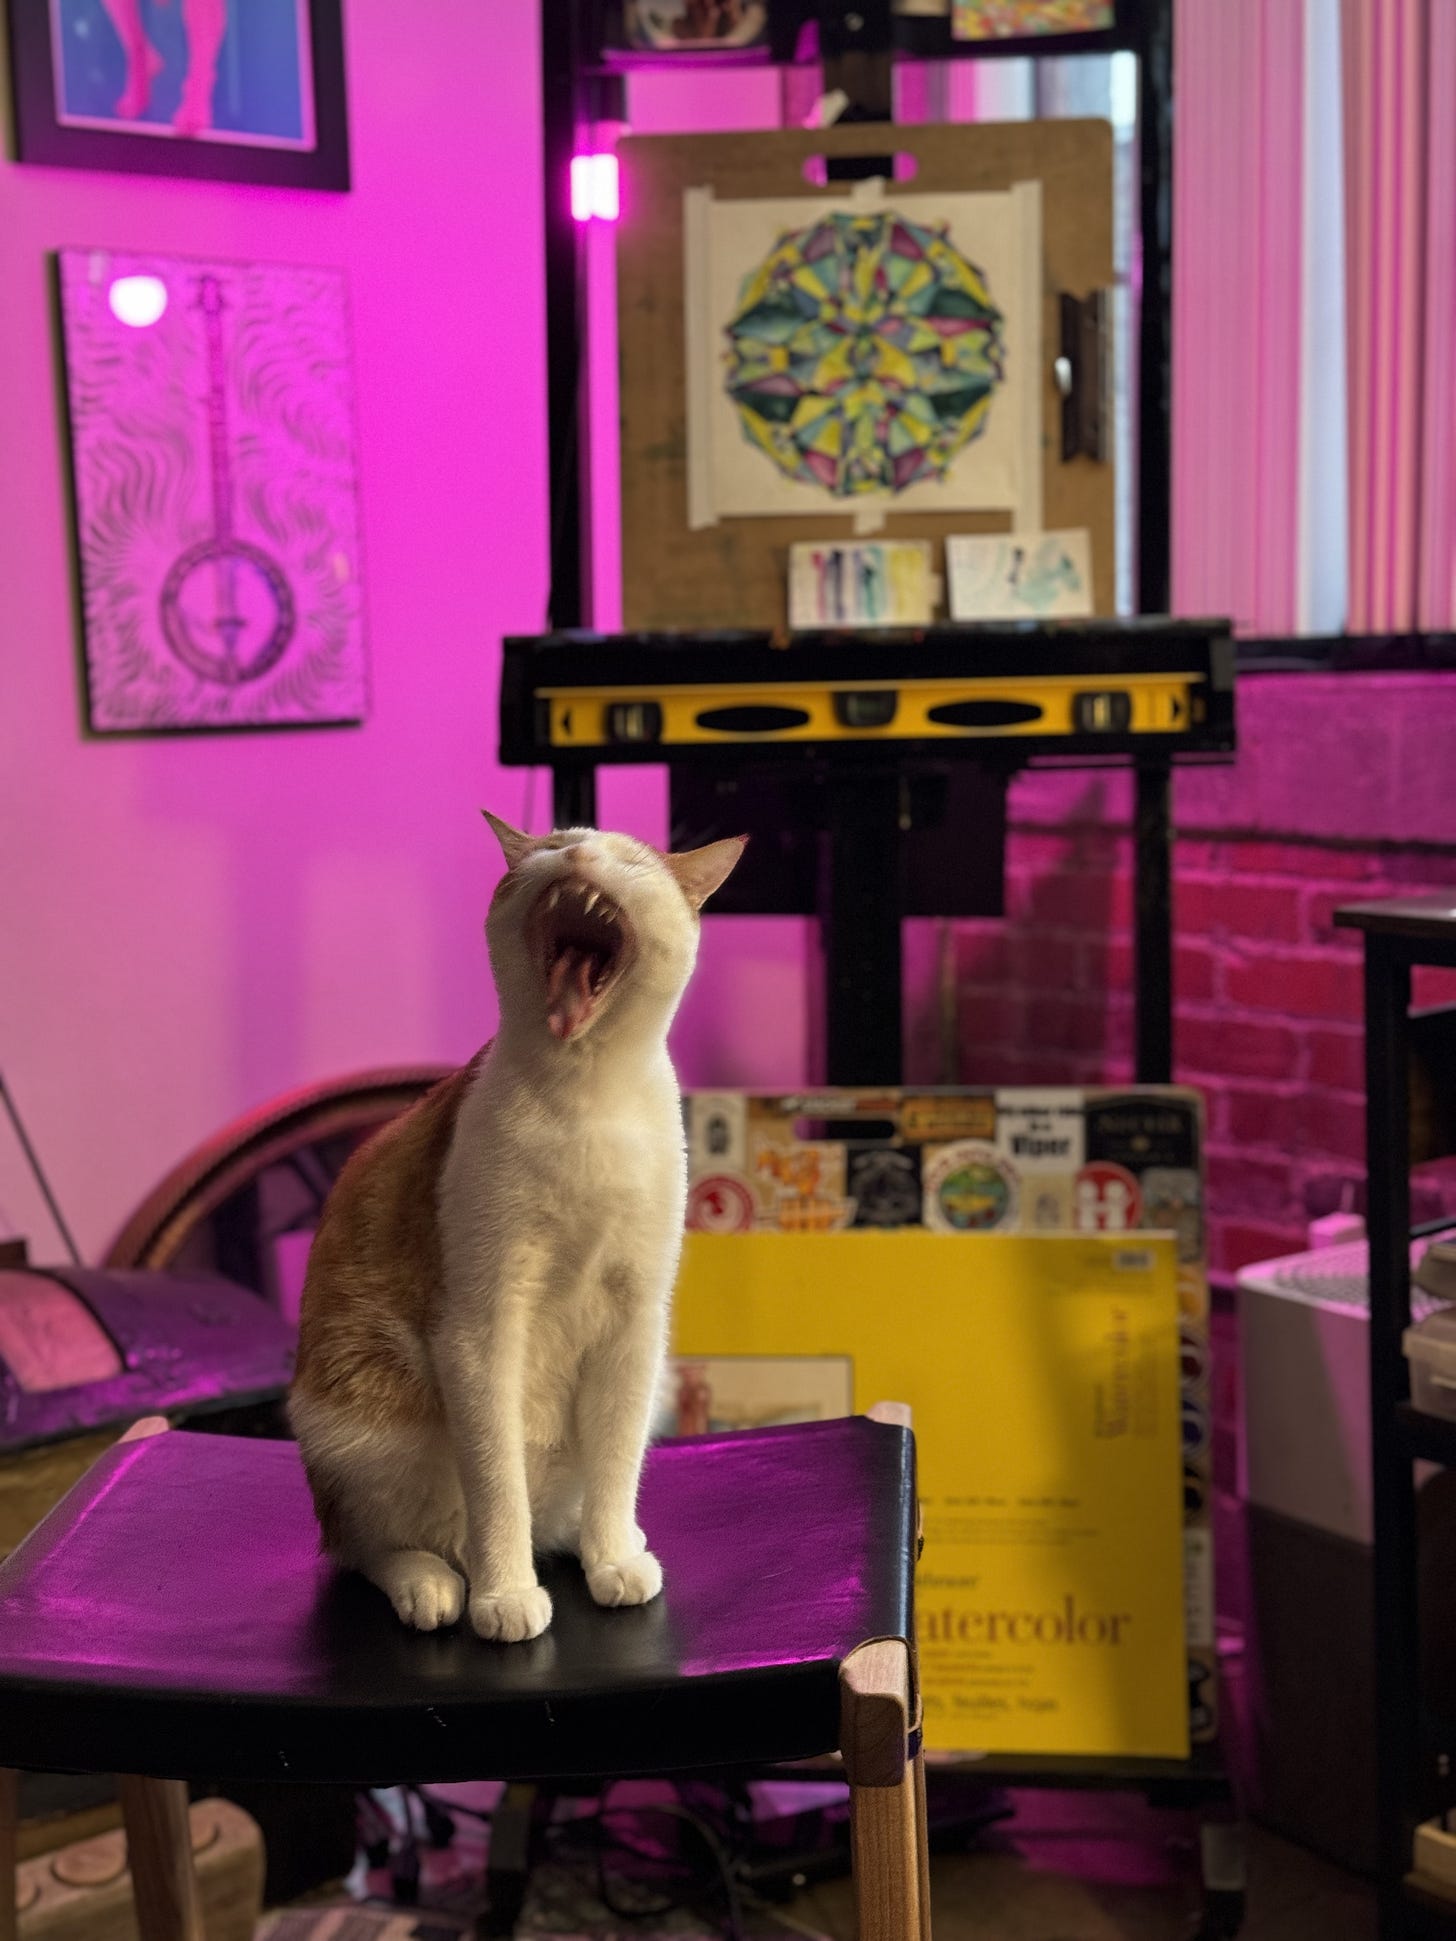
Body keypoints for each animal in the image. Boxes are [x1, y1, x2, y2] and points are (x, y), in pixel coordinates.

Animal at [287, 811, 741, 1645]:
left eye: (631, 860)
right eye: (552, 844)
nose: (580, 853)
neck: (588, 1102)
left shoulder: (637, 1322)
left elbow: (617, 1462)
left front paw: (612, 1557)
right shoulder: (482, 1325)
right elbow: (497, 1482)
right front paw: (506, 1594)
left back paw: (597, 1541)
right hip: (357, 1422)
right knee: (365, 1542)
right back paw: (435, 1582)